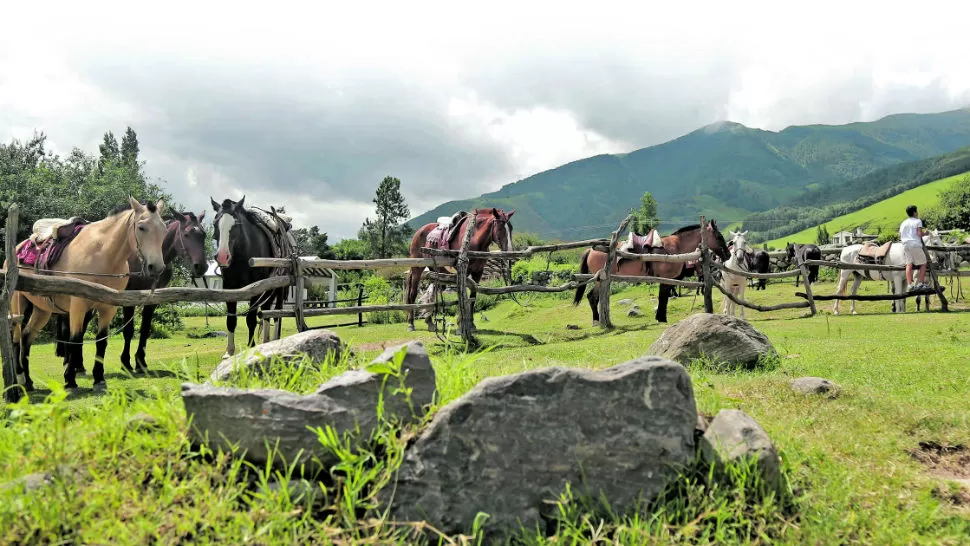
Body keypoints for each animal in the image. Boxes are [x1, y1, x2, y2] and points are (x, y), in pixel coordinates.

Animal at [8, 197, 166, 392]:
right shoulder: (78, 305)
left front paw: (99, 379)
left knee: (27, 336)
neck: (102, 254)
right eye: (142, 227)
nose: (156, 267)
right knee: (16, 338)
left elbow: (101, 341)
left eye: (164, 229)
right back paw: (20, 378)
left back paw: (29, 382)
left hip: (42, 309)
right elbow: (75, 339)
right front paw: (70, 380)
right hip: (17, 304)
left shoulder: (108, 307)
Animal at [51, 209, 210, 374]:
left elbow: (145, 330)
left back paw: (78, 364)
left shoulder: (152, 300)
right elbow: (128, 330)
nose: (201, 266)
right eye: (186, 234)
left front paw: (141, 362)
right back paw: (71, 362)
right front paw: (126, 363)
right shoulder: (128, 299)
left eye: (203, 234)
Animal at [210, 196, 290, 356]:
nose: (222, 257)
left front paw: (251, 347)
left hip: (279, 289)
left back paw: (273, 340)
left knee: (277, 312)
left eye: (236, 224)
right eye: (215, 223)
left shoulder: (256, 288)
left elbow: (251, 319)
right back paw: (266, 341)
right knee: (266, 310)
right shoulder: (230, 289)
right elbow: (231, 320)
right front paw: (229, 353)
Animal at [568, 219, 728, 324]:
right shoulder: (666, 279)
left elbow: (663, 298)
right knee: (592, 297)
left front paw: (660, 317)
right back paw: (596, 319)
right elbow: (663, 299)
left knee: (592, 297)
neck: (675, 248)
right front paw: (661, 318)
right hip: (600, 279)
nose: (727, 255)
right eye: (719, 236)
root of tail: (591, 250)